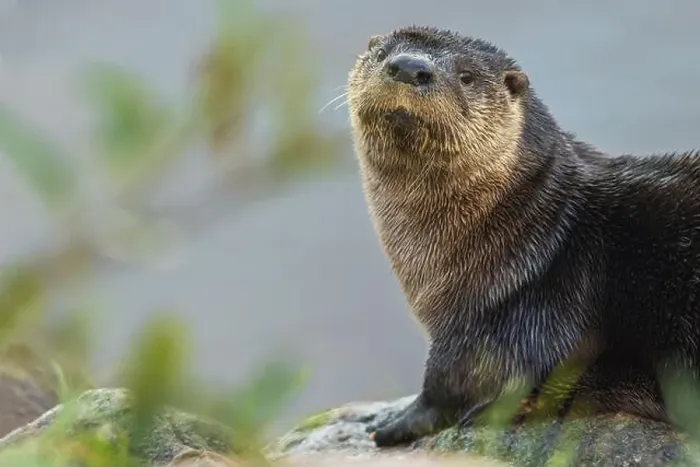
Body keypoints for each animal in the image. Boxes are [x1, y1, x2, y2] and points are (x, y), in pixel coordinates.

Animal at [346, 25, 700, 448]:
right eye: (383, 54)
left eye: (466, 76)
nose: (409, 67)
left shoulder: (507, 319)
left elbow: (450, 382)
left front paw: (396, 422)